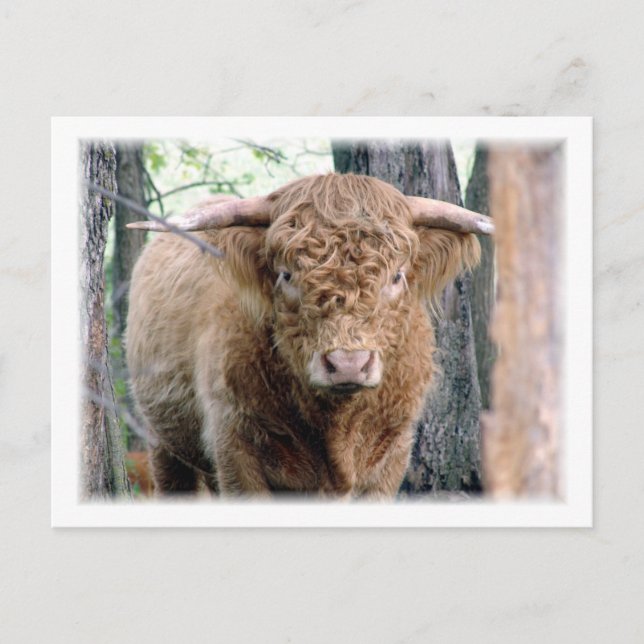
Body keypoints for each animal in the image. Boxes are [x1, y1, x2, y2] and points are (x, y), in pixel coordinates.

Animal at [125, 173, 493, 498]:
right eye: (286, 274)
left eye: (397, 276)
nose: (347, 364)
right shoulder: (234, 448)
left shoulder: (393, 453)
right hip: (163, 443)